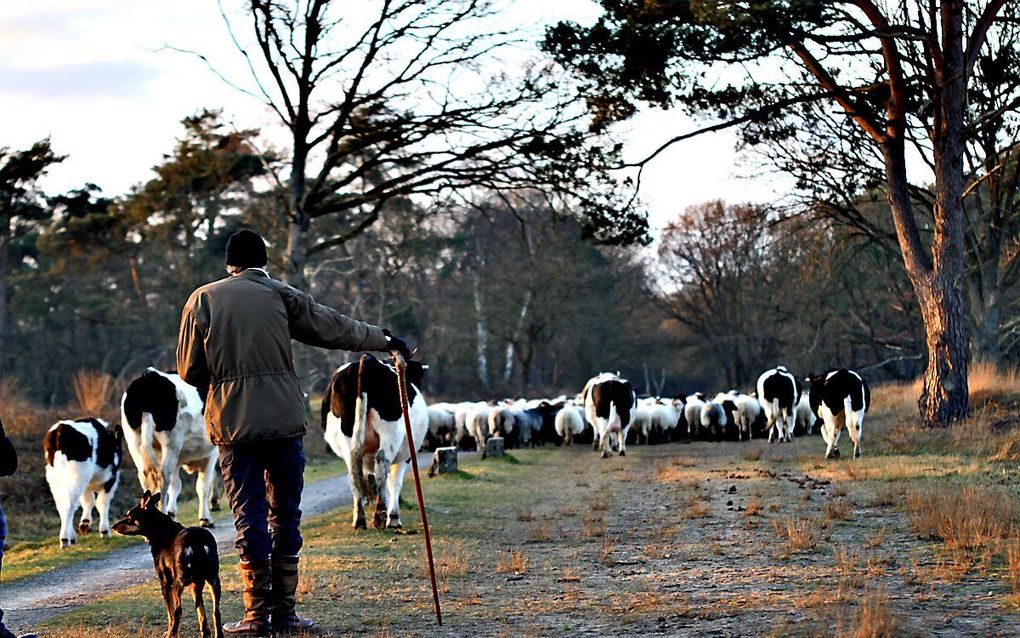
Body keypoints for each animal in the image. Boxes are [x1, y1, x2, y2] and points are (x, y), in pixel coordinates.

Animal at [44, 418, 123, 547]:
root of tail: (60, 430)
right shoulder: (111, 479)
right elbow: (102, 503)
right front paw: (105, 531)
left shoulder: (87, 485)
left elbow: (88, 501)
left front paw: (85, 523)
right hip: (77, 475)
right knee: (69, 505)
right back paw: (65, 539)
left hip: (56, 478)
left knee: (62, 505)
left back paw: (70, 536)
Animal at [116, 489, 226, 632]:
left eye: (129, 517)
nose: (112, 526)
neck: (162, 530)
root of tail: (197, 541)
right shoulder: (195, 585)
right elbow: (201, 614)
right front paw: (204, 631)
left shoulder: (165, 581)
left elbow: (170, 613)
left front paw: (168, 629)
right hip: (214, 581)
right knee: (216, 613)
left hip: (178, 584)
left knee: (177, 612)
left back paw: (171, 633)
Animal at [121, 365, 221, 526]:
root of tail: (149, 376)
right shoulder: (210, 454)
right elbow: (203, 486)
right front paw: (205, 517)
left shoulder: (178, 459)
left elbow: (176, 486)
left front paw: (172, 513)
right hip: (172, 442)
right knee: (163, 478)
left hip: (135, 443)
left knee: (146, 478)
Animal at [320, 353, 428, 526]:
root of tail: (368, 359)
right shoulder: (405, 456)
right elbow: (395, 482)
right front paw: (394, 517)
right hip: (390, 433)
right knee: (381, 465)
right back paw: (381, 515)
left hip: (348, 436)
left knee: (354, 470)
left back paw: (359, 517)